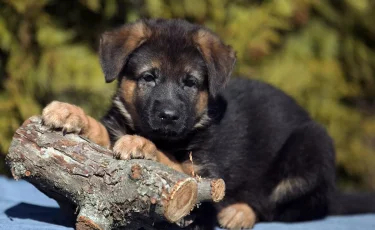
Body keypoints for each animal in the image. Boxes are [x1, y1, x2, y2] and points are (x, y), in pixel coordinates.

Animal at [41, 18, 375, 229]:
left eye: (190, 83)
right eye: (149, 77)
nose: (168, 116)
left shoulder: (203, 173)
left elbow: (171, 162)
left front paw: (141, 144)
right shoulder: (117, 127)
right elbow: (101, 131)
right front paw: (70, 113)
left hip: (311, 146)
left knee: (282, 206)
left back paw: (239, 213)